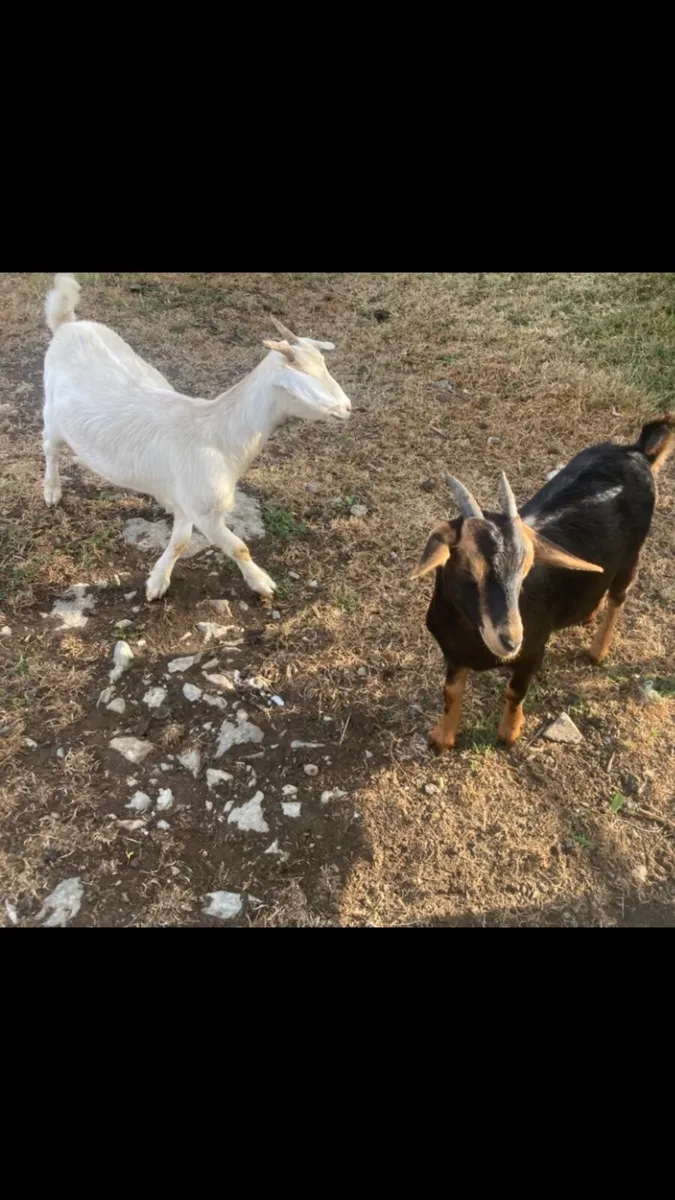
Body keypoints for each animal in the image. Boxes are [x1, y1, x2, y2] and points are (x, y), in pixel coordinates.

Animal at [42, 274, 351, 601]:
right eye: (303, 381)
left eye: (324, 365)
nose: (347, 407)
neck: (217, 434)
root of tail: (67, 324)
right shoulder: (205, 511)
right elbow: (238, 547)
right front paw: (261, 583)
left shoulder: (189, 504)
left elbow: (180, 542)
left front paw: (158, 580)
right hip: (52, 413)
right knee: (50, 448)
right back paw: (51, 490)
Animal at [411, 416, 674, 750]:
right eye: (469, 569)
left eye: (526, 570)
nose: (511, 640)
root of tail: (638, 451)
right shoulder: (452, 653)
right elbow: (451, 692)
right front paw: (442, 737)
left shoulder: (534, 651)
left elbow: (515, 690)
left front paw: (509, 734)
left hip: (632, 554)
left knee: (619, 596)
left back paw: (597, 651)